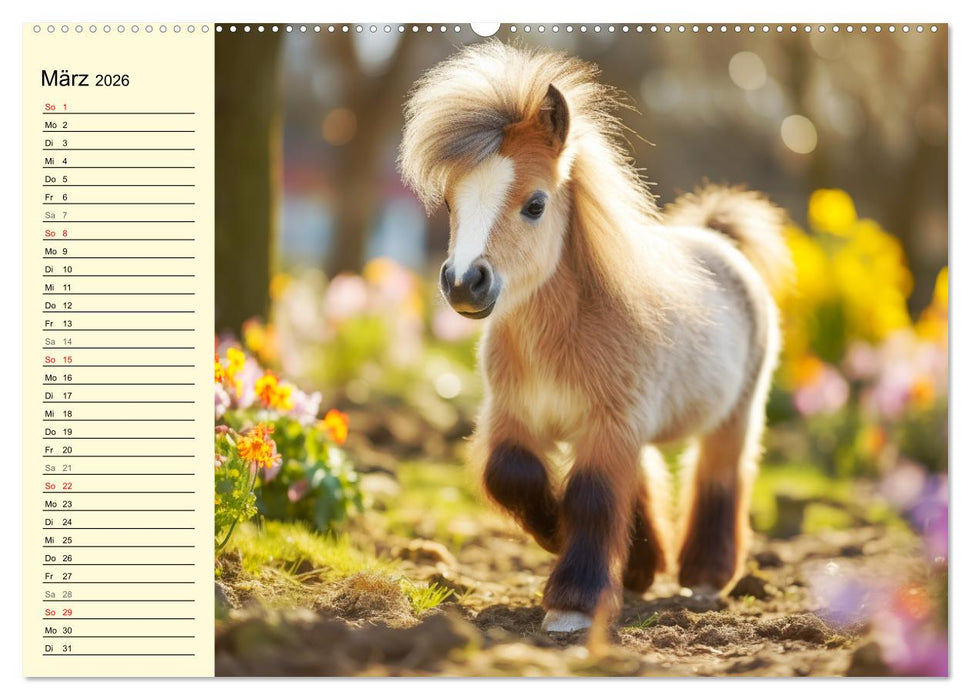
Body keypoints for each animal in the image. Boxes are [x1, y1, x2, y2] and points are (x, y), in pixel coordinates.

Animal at [398, 41, 791, 633]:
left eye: (535, 204)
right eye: (450, 203)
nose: (465, 283)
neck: (560, 340)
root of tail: (719, 241)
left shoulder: (607, 428)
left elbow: (592, 498)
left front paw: (573, 603)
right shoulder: (515, 417)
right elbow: (509, 474)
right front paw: (556, 533)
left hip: (734, 417)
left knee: (719, 477)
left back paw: (702, 576)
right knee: (648, 477)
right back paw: (641, 569)